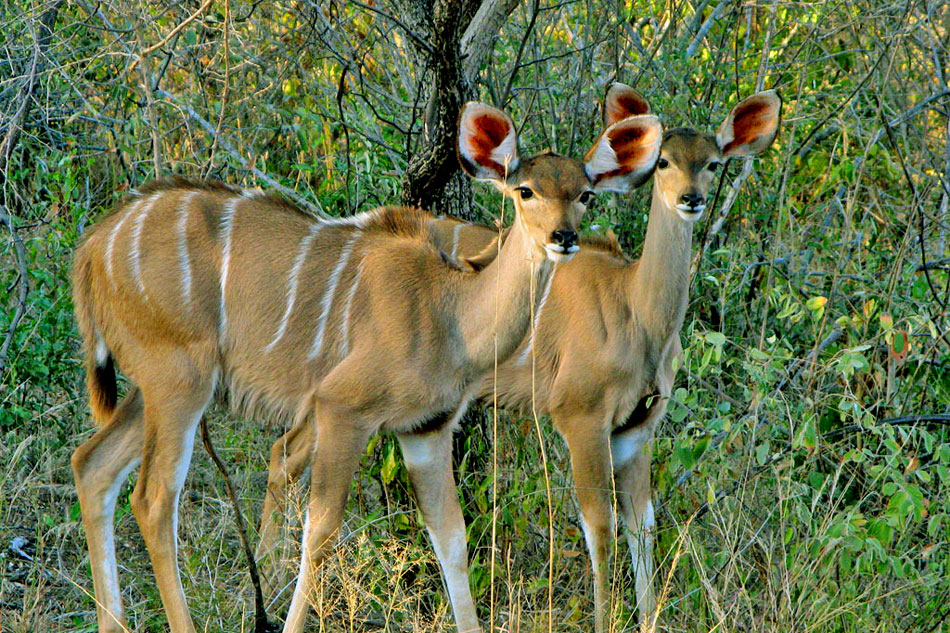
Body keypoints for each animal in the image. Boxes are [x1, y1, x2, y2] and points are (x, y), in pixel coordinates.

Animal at [72, 100, 660, 632]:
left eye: (584, 194)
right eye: (526, 190)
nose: (563, 238)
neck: (448, 309)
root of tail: (93, 246)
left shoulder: (425, 430)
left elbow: (451, 539)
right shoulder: (343, 410)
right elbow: (320, 532)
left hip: (155, 386)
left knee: (92, 464)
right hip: (179, 383)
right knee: (153, 499)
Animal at [264, 85, 784, 632]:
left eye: (712, 163)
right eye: (663, 161)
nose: (691, 200)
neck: (636, 309)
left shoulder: (636, 428)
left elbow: (642, 526)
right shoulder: (579, 415)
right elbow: (601, 528)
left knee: (283, 451)